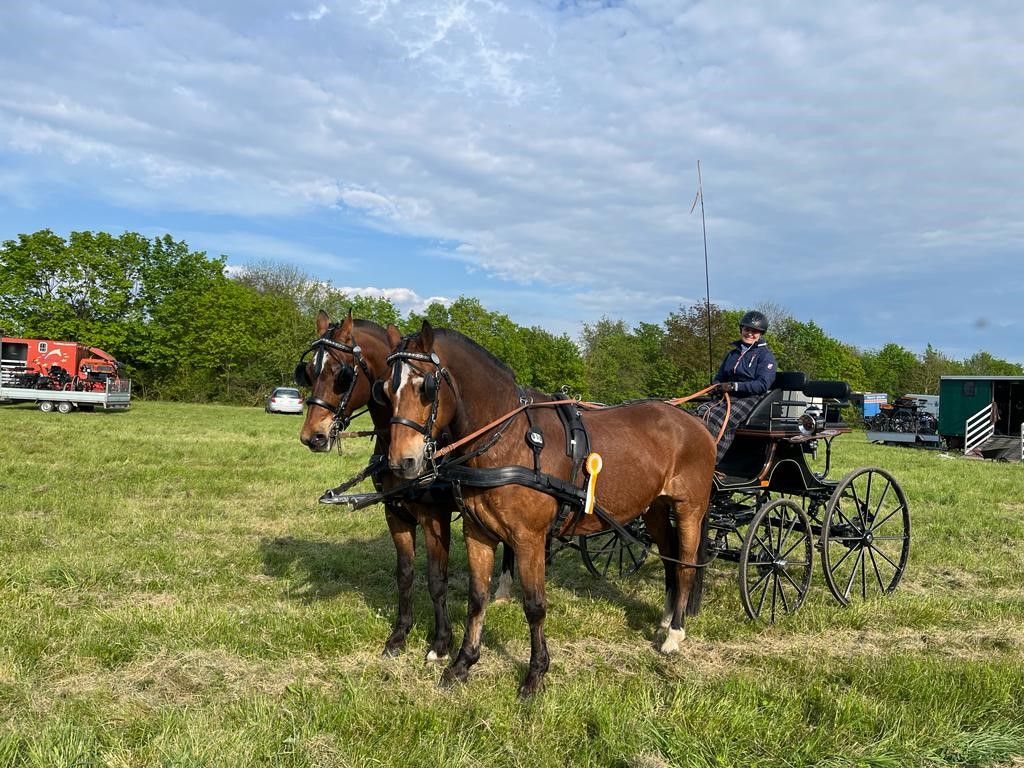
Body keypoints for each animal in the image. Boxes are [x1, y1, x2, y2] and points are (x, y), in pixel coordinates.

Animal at [296, 311, 512, 663]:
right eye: (309, 372)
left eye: (341, 374)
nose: (312, 436)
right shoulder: (395, 513)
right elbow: (405, 573)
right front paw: (399, 636)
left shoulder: (434, 516)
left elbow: (436, 579)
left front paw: (441, 643)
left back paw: (505, 590)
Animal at [382, 319, 712, 696]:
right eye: (385, 388)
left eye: (425, 385)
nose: (402, 462)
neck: (509, 439)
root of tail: (695, 421)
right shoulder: (477, 532)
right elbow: (477, 598)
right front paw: (462, 663)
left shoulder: (529, 539)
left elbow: (535, 605)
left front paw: (535, 673)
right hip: (654, 508)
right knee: (670, 556)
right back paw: (665, 620)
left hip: (690, 509)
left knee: (684, 565)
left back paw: (675, 633)